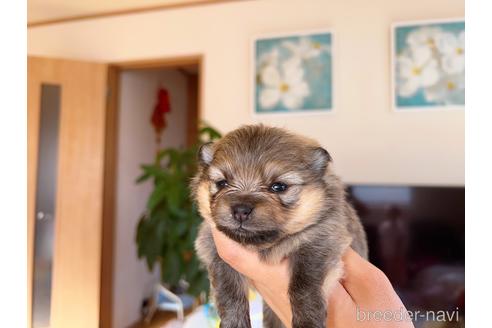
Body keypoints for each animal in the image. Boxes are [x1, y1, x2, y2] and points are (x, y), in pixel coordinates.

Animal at [191, 125, 366, 328]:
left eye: (279, 187)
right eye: (222, 183)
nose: (241, 210)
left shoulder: (320, 242)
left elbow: (304, 285)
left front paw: (307, 322)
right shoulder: (216, 252)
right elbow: (229, 292)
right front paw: (234, 322)